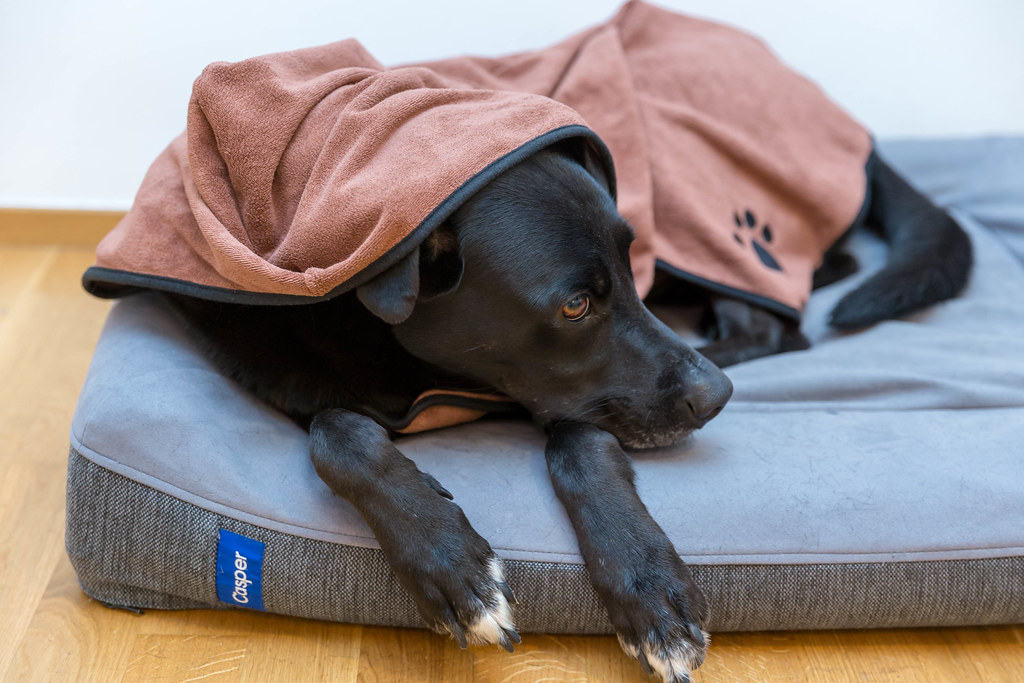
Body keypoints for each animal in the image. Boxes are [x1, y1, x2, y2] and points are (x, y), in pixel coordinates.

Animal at [163, 137, 970, 679]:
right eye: (575, 304)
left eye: (630, 267)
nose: (716, 397)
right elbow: (338, 433)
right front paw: (450, 563)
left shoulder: (569, 398)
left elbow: (580, 444)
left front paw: (649, 588)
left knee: (788, 313)